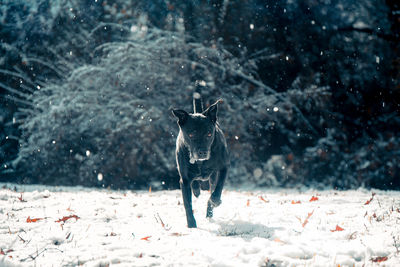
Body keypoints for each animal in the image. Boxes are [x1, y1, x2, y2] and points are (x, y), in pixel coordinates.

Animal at [171, 93, 228, 228]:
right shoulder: (184, 180)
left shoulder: (223, 168)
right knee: (196, 185)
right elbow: (187, 203)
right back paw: (197, 191)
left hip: (213, 176)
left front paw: (215, 201)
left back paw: (209, 213)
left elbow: (218, 188)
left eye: (209, 134)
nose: (202, 152)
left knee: (212, 189)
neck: (200, 162)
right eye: (191, 134)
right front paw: (191, 225)